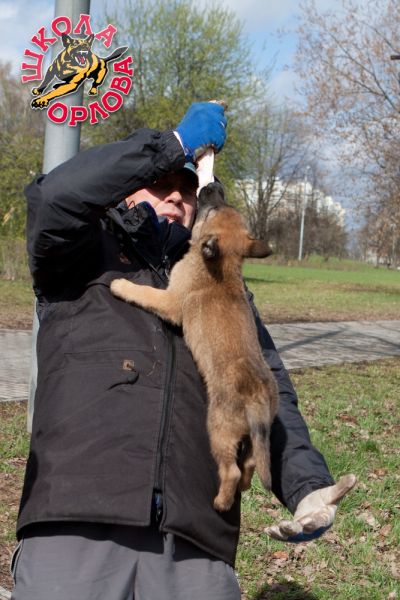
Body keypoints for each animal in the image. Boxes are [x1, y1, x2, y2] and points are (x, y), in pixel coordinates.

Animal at [110, 182, 279, 511]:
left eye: (210, 211)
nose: (214, 184)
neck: (221, 268)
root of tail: (257, 396)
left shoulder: (170, 301)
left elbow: (145, 292)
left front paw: (121, 285)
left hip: (219, 429)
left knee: (231, 469)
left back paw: (221, 502)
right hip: (253, 437)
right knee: (251, 464)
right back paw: (241, 487)